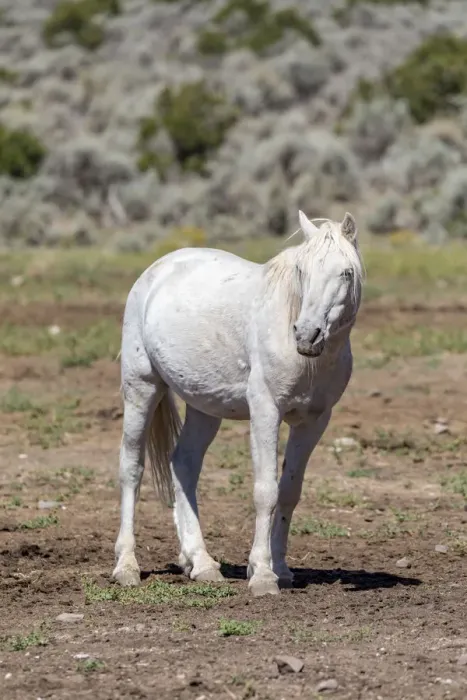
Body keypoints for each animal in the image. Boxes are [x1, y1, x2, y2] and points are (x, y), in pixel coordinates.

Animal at [113, 210, 363, 597]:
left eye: (346, 272)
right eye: (301, 271)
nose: (307, 335)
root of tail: (158, 269)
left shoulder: (314, 421)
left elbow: (289, 491)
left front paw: (281, 569)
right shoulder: (266, 410)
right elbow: (266, 491)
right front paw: (262, 575)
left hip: (203, 406)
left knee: (184, 465)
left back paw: (201, 563)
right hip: (141, 387)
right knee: (131, 467)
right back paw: (126, 566)